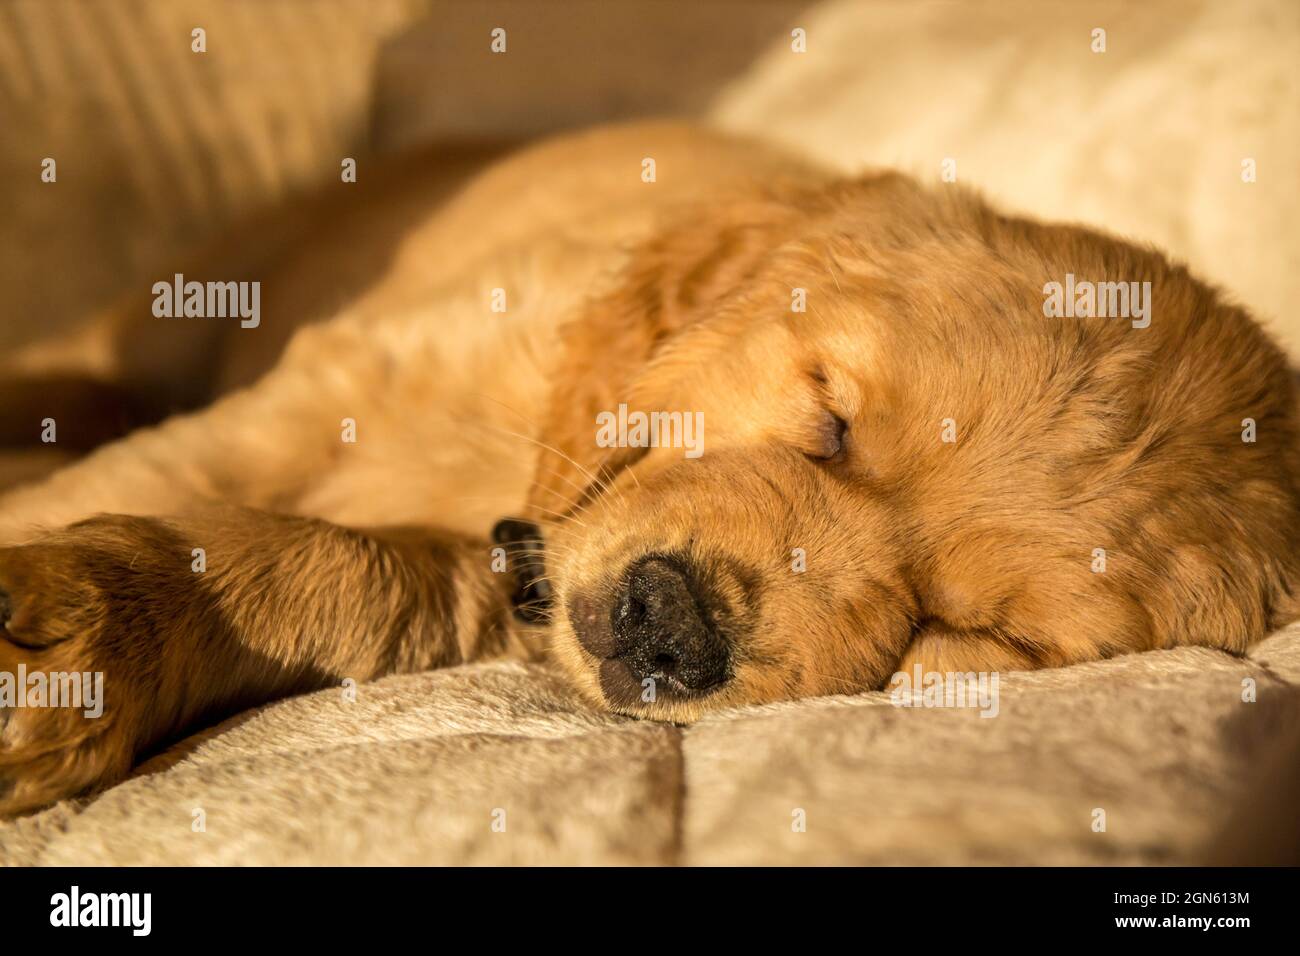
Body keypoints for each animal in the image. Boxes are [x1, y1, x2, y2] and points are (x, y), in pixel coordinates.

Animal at [2, 123, 1300, 816]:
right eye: (830, 416)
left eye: (978, 634)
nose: (670, 623)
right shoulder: (338, 377)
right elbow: (160, 466)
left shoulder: (490, 579)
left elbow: (340, 574)